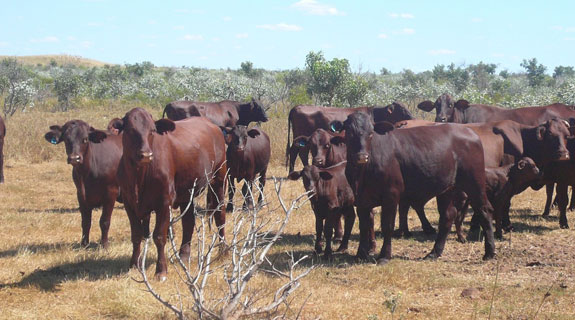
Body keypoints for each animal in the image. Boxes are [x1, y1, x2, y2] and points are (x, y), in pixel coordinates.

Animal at [44, 120, 122, 248]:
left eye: (85, 139)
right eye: (66, 139)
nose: (74, 158)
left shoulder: (111, 192)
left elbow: (104, 221)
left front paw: (104, 244)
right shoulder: (81, 194)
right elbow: (86, 222)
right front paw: (84, 244)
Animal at [109, 107, 226, 280]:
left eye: (152, 130)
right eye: (130, 130)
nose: (146, 155)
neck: (139, 177)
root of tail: (212, 125)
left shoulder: (164, 203)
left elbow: (159, 236)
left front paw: (161, 270)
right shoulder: (129, 203)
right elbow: (136, 235)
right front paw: (134, 265)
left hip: (219, 181)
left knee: (220, 214)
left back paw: (223, 250)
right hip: (186, 193)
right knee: (188, 221)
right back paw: (184, 254)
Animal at [330, 114, 498, 264]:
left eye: (371, 133)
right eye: (349, 133)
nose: (362, 156)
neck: (363, 173)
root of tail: (470, 132)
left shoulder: (391, 195)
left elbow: (387, 226)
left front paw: (384, 256)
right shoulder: (361, 199)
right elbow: (364, 226)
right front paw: (360, 255)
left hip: (474, 182)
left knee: (485, 210)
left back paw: (489, 252)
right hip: (447, 189)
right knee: (448, 215)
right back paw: (434, 253)